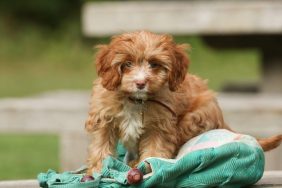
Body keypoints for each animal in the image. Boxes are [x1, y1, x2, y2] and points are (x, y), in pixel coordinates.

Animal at [85, 30, 282, 173]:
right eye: (127, 64)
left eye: (154, 64)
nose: (140, 83)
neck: (136, 100)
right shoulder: (104, 119)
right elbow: (101, 146)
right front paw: (97, 171)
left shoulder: (160, 127)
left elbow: (155, 150)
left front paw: (147, 167)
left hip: (195, 118)